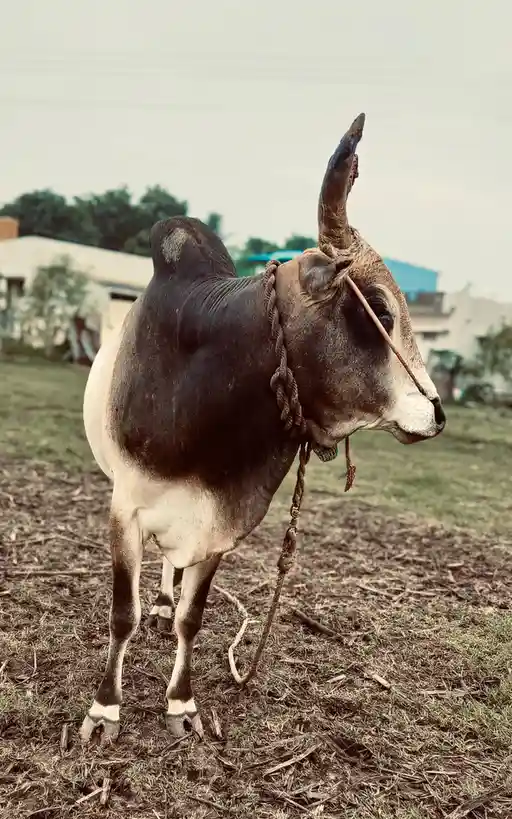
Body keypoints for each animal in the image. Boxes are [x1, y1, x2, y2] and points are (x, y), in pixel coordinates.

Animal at [79, 113, 446, 745]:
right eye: (377, 307)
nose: (436, 413)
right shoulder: (124, 508)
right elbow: (121, 616)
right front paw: (105, 711)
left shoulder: (221, 519)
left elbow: (193, 618)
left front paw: (182, 704)